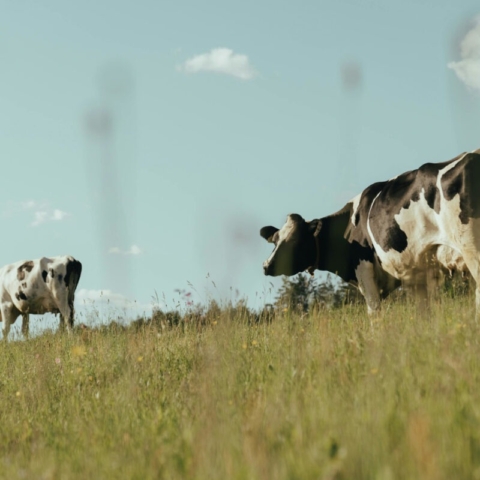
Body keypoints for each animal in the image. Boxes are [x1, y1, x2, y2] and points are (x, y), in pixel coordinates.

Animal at [262, 148, 480, 316]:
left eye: (294, 241)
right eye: (275, 240)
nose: (266, 266)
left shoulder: (364, 268)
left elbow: (374, 312)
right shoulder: (418, 273)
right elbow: (423, 312)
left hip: (471, 246)